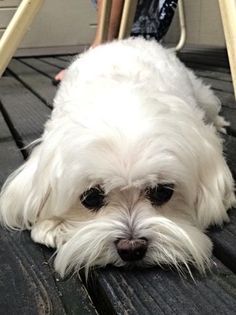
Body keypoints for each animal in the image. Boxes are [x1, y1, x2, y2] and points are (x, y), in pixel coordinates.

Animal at [0, 38, 234, 278]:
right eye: (91, 197)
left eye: (162, 192)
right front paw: (53, 225)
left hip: (202, 95)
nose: (132, 248)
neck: (121, 97)